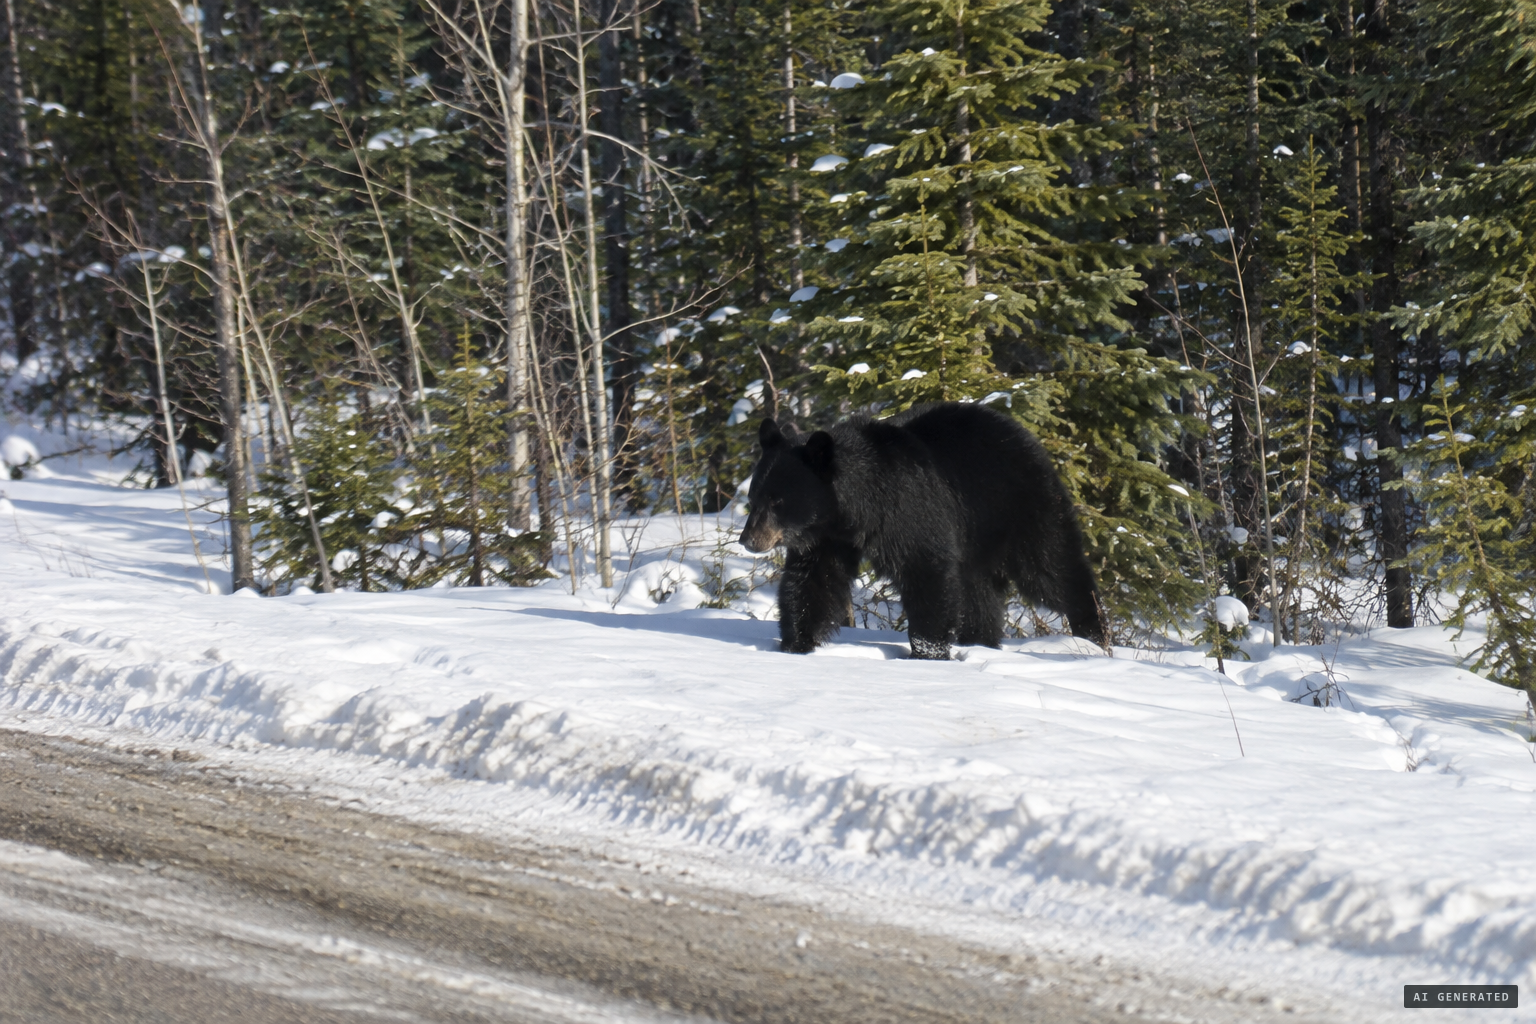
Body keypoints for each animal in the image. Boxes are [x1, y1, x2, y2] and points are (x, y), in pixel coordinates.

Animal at [739, 402, 1107, 659]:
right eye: (754, 496)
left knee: (1052, 568)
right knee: (979, 591)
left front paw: (927, 652)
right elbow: (813, 580)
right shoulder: (827, 536)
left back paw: (1093, 637)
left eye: (778, 501)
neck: (855, 508)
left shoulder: (909, 509)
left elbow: (925, 568)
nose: (748, 540)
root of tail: (1024, 433)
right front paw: (795, 644)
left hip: (1019, 507)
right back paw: (980, 641)